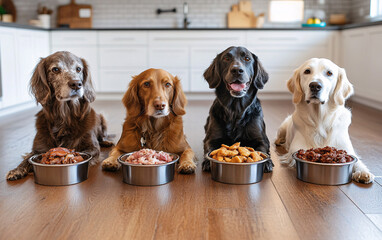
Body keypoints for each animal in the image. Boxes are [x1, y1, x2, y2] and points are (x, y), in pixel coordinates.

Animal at [6, 51, 112, 181]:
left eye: (78, 69)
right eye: (55, 69)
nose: (76, 84)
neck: (64, 116)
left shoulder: (92, 147)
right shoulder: (38, 148)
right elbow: (27, 158)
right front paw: (16, 170)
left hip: (102, 118)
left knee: (103, 136)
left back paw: (107, 142)